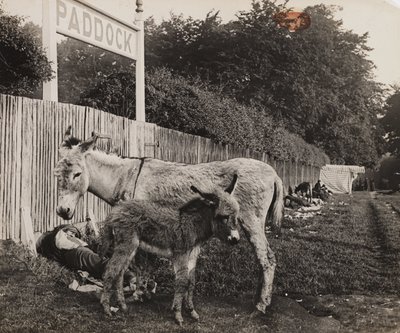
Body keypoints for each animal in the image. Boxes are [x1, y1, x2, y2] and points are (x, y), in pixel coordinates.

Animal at [100, 175, 241, 322]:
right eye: (224, 217)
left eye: (236, 216)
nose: (236, 239)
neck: (193, 225)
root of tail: (116, 211)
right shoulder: (180, 254)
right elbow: (182, 281)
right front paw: (178, 314)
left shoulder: (192, 256)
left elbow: (191, 282)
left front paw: (192, 311)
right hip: (126, 245)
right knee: (111, 270)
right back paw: (106, 309)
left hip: (131, 248)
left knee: (120, 273)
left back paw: (123, 306)